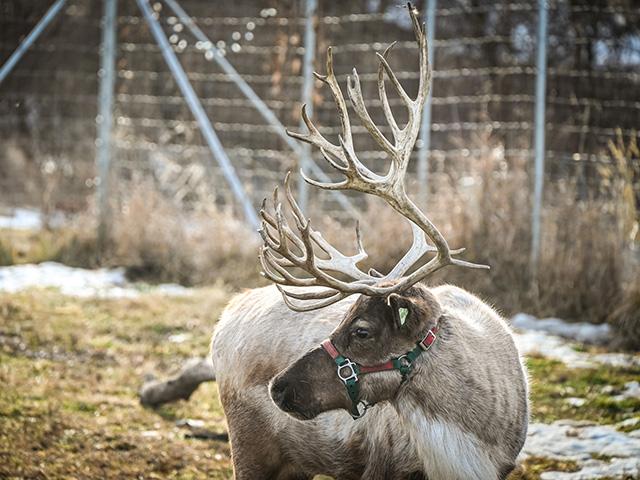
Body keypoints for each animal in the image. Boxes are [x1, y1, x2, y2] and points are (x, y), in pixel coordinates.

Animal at [211, 4, 529, 479]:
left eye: (361, 330)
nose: (278, 388)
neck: (468, 449)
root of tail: (225, 317)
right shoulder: (382, 466)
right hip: (250, 451)